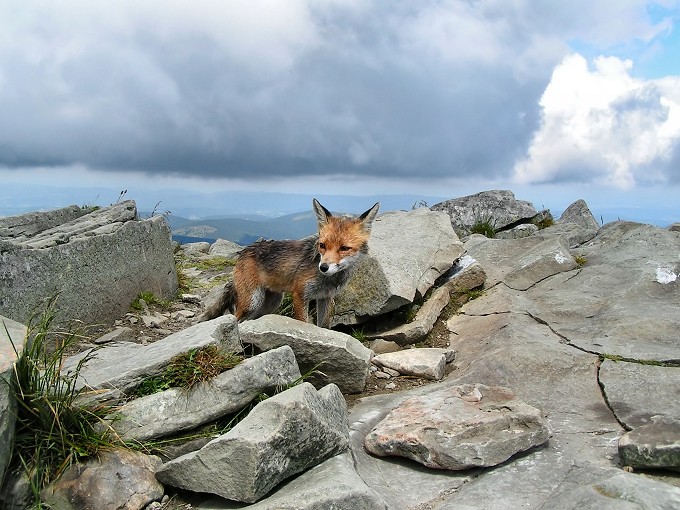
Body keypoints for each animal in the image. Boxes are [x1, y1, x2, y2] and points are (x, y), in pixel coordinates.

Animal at [199, 198, 380, 326]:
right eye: (322, 245)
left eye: (344, 248)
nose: (323, 267)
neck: (328, 280)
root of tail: (244, 251)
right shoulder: (300, 295)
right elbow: (303, 323)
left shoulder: (325, 298)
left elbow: (323, 327)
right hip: (252, 301)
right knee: (236, 318)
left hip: (271, 303)